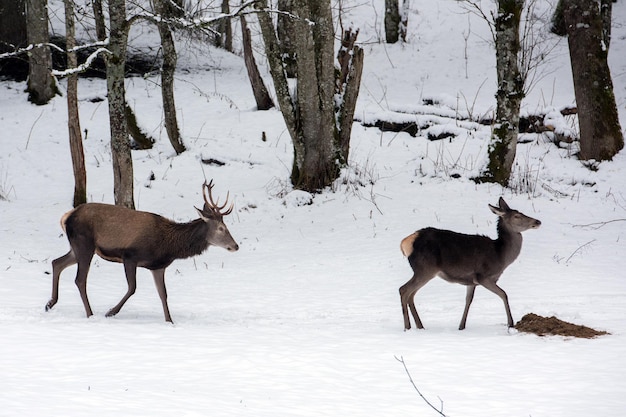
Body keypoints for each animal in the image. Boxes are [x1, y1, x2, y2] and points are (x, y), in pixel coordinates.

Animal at [45, 180, 236, 322]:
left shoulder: (158, 266)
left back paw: (50, 303)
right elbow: (133, 288)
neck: (169, 246)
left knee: (57, 262)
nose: (236, 246)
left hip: (77, 247)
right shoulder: (130, 256)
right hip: (84, 243)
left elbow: (163, 294)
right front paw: (111, 312)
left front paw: (170, 321)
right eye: (221, 228)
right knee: (80, 279)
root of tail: (66, 217)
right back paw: (90, 314)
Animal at [400, 197, 536, 330]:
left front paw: (461, 326)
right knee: (404, 290)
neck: (500, 256)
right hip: (425, 269)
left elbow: (468, 300)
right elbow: (504, 294)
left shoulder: (471, 282)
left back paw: (420, 326)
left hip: (423, 271)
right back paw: (407, 327)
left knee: (411, 294)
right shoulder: (483, 276)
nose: (537, 221)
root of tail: (405, 242)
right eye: (516, 216)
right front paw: (510, 323)